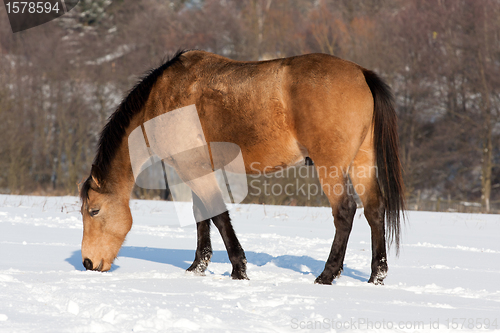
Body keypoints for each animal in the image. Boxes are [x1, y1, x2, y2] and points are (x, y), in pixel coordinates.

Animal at [79, 49, 406, 282]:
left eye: (94, 211)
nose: (88, 263)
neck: (163, 99)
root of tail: (361, 74)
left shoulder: (193, 169)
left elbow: (218, 216)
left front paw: (238, 269)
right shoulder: (196, 169)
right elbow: (202, 215)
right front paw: (197, 267)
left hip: (332, 167)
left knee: (345, 212)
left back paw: (327, 275)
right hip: (362, 162)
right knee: (374, 210)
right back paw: (376, 276)